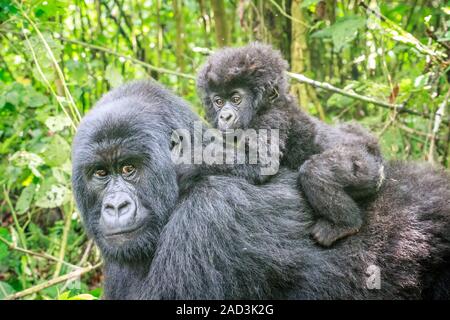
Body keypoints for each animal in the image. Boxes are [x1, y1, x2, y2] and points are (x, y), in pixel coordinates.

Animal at [197, 43, 384, 248]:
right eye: (218, 101)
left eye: (236, 99)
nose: (224, 116)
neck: (266, 106)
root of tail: (374, 150)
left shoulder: (272, 119)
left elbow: (261, 165)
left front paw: (192, 156)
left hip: (367, 166)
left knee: (315, 171)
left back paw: (344, 225)